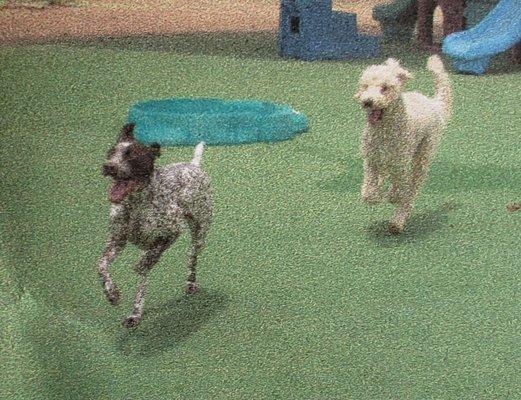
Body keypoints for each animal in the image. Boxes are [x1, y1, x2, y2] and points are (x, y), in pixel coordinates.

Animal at [354, 54, 450, 233]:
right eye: (365, 86)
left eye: (385, 88)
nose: (368, 102)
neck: (385, 130)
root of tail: (434, 104)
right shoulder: (371, 160)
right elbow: (369, 190)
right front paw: (375, 195)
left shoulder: (401, 163)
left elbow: (399, 190)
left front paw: (392, 196)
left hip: (422, 158)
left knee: (410, 193)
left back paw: (397, 221)